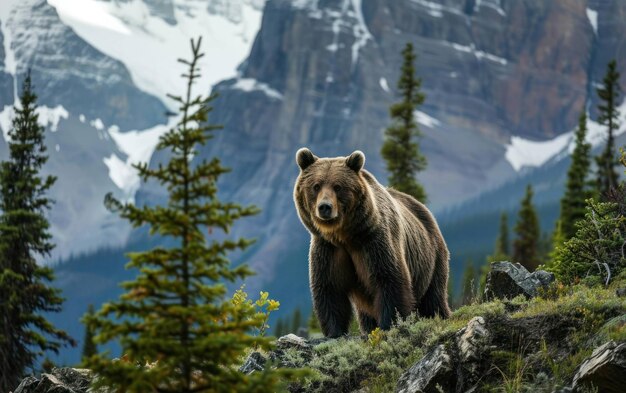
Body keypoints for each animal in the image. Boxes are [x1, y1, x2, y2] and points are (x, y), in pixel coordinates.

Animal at [292, 148, 448, 336]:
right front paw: (334, 331)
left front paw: (389, 324)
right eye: (316, 186)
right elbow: (329, 288)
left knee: (433, 298)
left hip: (431, 258)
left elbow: (389, 279)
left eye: (338, 186)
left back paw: (440, 315)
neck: (345, 235)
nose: (325, 207)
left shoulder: (373, 241)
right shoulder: (328, 248)